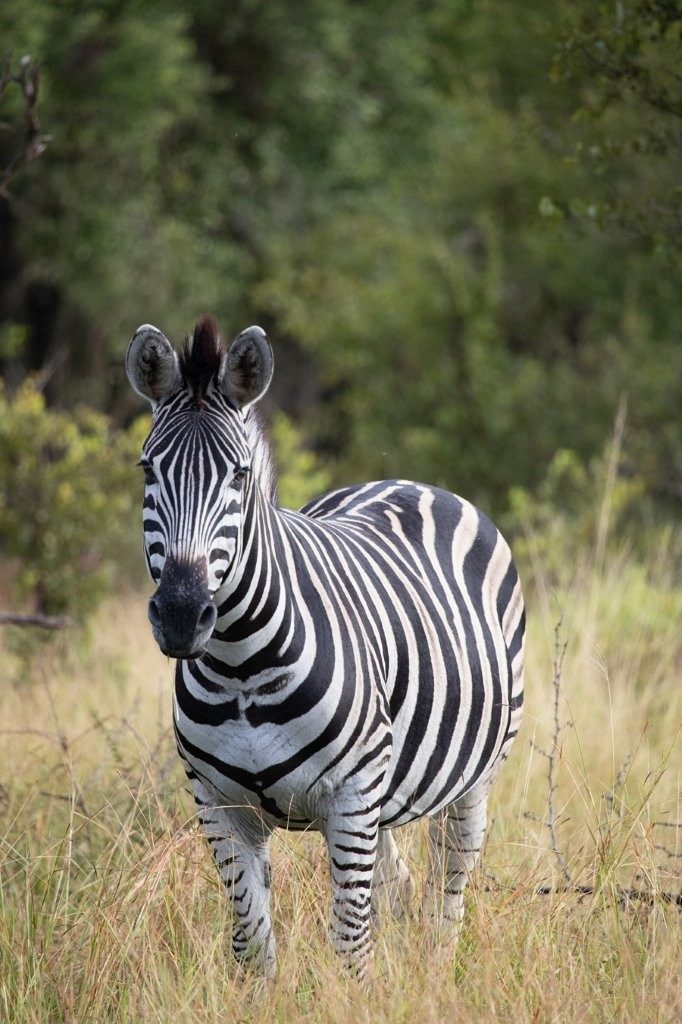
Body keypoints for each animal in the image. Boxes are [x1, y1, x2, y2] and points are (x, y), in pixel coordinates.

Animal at [125, 315, 524, 978]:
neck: (241, 669)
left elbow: (349, 945)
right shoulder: (219, 807)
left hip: (469, 781)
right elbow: (253, 945)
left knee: (448, 893)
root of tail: (404, 481)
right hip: (382, 799)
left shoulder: (351, 797)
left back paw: (435, 976)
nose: (182, 615)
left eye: (239, 476)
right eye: (147, 471)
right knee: (400, 888)